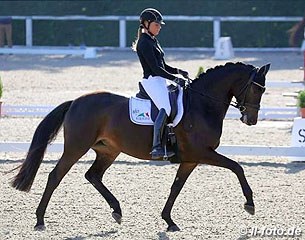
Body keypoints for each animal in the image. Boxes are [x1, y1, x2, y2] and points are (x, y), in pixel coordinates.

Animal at [10, 61, 270, 232]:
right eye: (256, 88)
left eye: (263, 90)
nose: (251, 120)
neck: (201, 104)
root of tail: (75, 102)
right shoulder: (202, 153)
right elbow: (237, 167)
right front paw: (250, 204)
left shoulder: (190, 159)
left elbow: (176, 187)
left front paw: (169, 220)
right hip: (76, 147)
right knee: (55, 176)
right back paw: (40, 220)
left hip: (108, 150)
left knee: (93, 175)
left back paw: (117, 211)